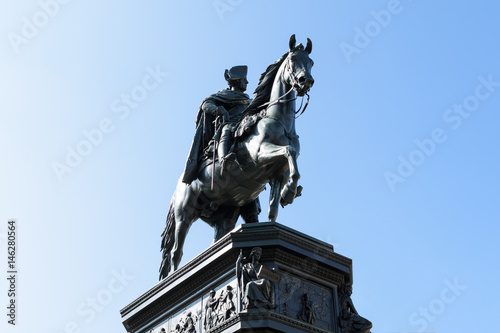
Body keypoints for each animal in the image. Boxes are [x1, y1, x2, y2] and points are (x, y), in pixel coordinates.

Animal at [160, 34, 314, 278]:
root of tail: (177, 189)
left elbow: (274, 208)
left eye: (311, 63)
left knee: (217, 239)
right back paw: (175, 278)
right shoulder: (261, 154)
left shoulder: (277, 174)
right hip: (184, 212)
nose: (305, 81)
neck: (279, 121)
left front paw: (288, 193)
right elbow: (288, 152)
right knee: (176, 252)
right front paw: (290, 191)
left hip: (226, 215)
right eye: (293, 59)